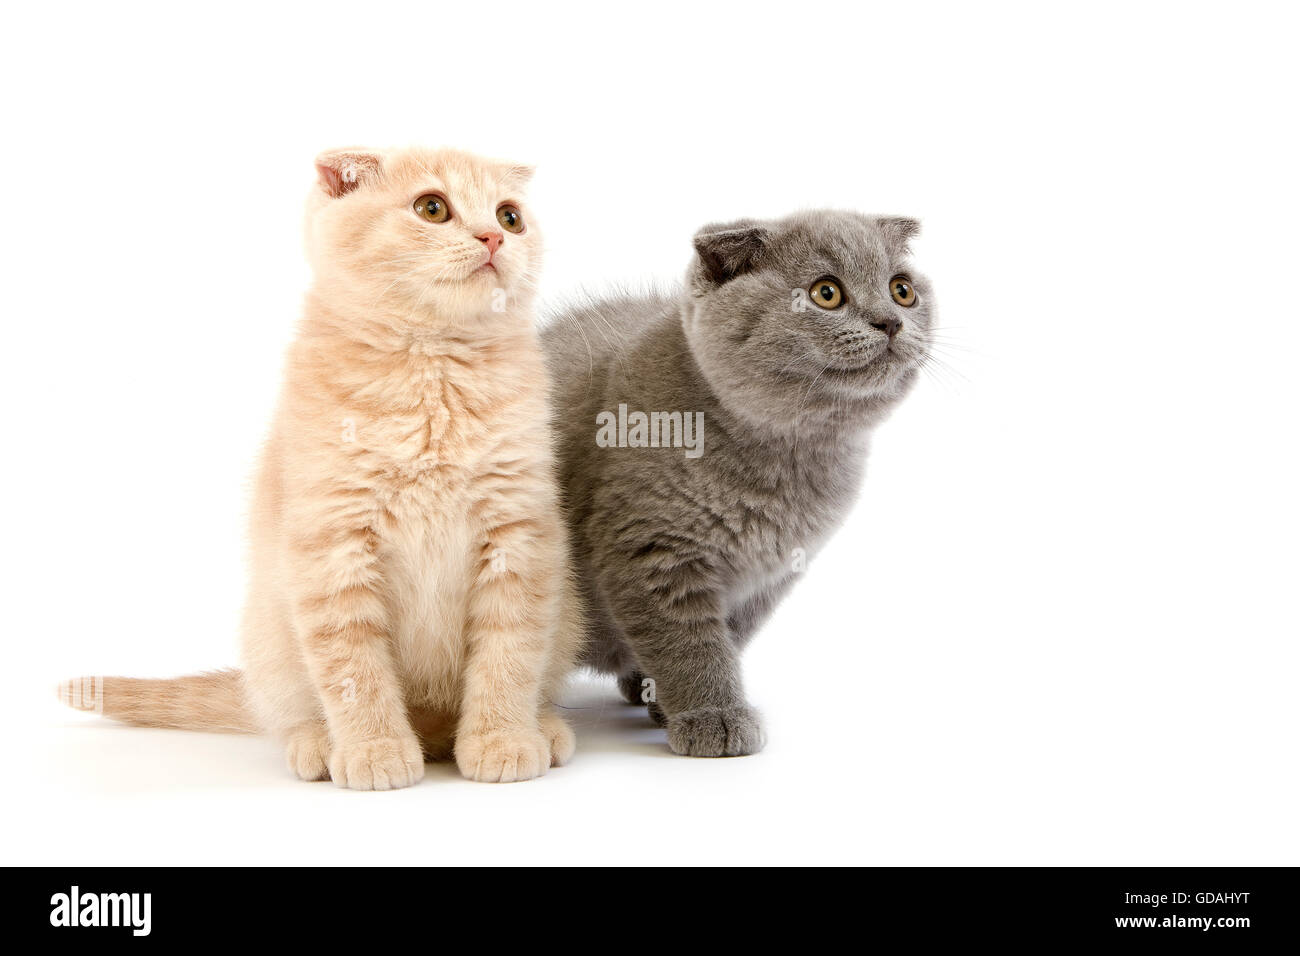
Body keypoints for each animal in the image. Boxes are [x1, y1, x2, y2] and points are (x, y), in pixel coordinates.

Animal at [61, 145, 579, 790]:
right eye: (432, 208)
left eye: (511, 216)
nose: (493, 237)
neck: (432, 368)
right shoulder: (331, 545)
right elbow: (353, 668)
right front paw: (375, 751)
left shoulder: (519, 537)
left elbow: (509, 655)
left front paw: (501, 740)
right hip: (268, 632)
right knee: (289, 709)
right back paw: (316, 743)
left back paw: (543, 729)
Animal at [540, 209, 935, 754]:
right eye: (826, 293)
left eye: (902, 290)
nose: (891, 321)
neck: (783, 459)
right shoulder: (651, 548)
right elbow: (689, 641)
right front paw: (714, 715)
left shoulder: (770, 575)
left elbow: (729, 634)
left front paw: (663, 699)